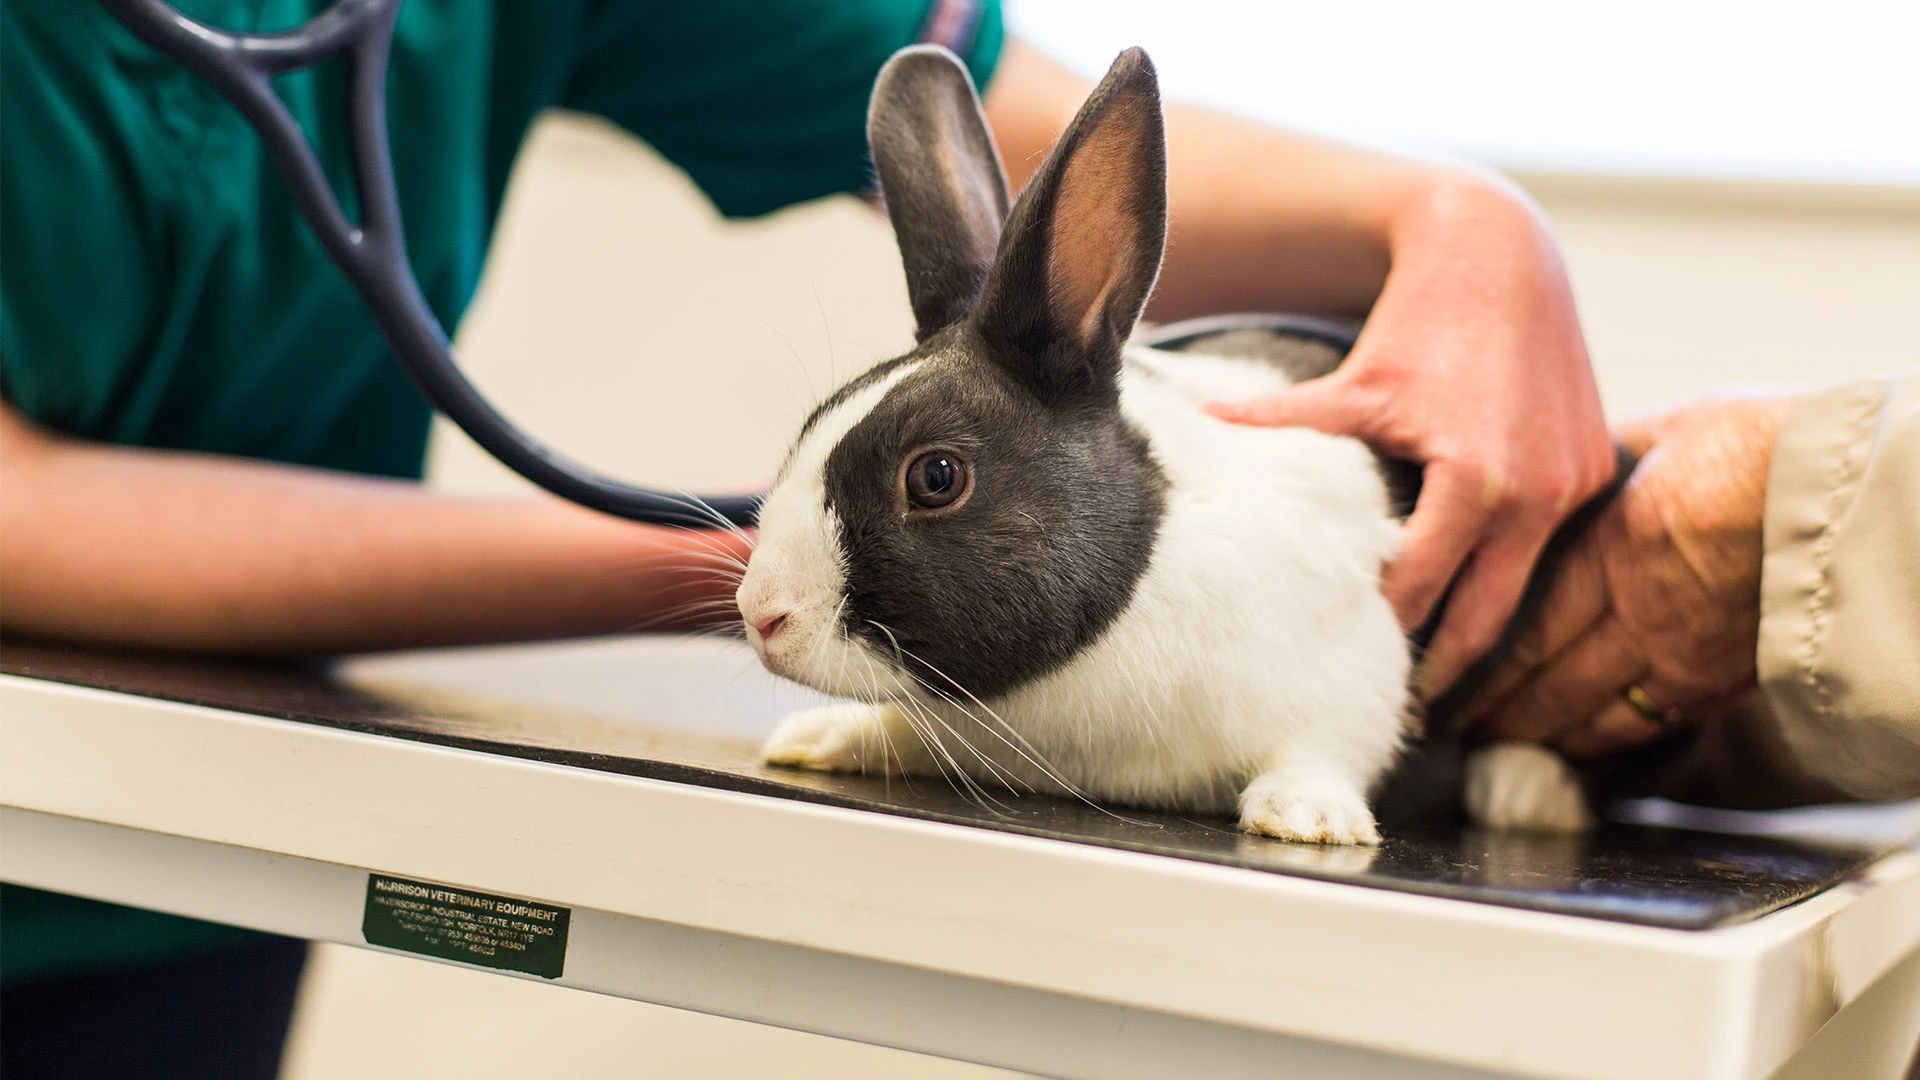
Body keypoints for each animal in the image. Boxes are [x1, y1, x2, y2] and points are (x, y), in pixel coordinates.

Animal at [734, 44, 1598, 845]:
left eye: (937, 476)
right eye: (811, 424)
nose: (762, 615)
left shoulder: (1361, 668)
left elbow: (1331, 744)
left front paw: (1307, 817)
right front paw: (820, 737)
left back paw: (1530, 795)